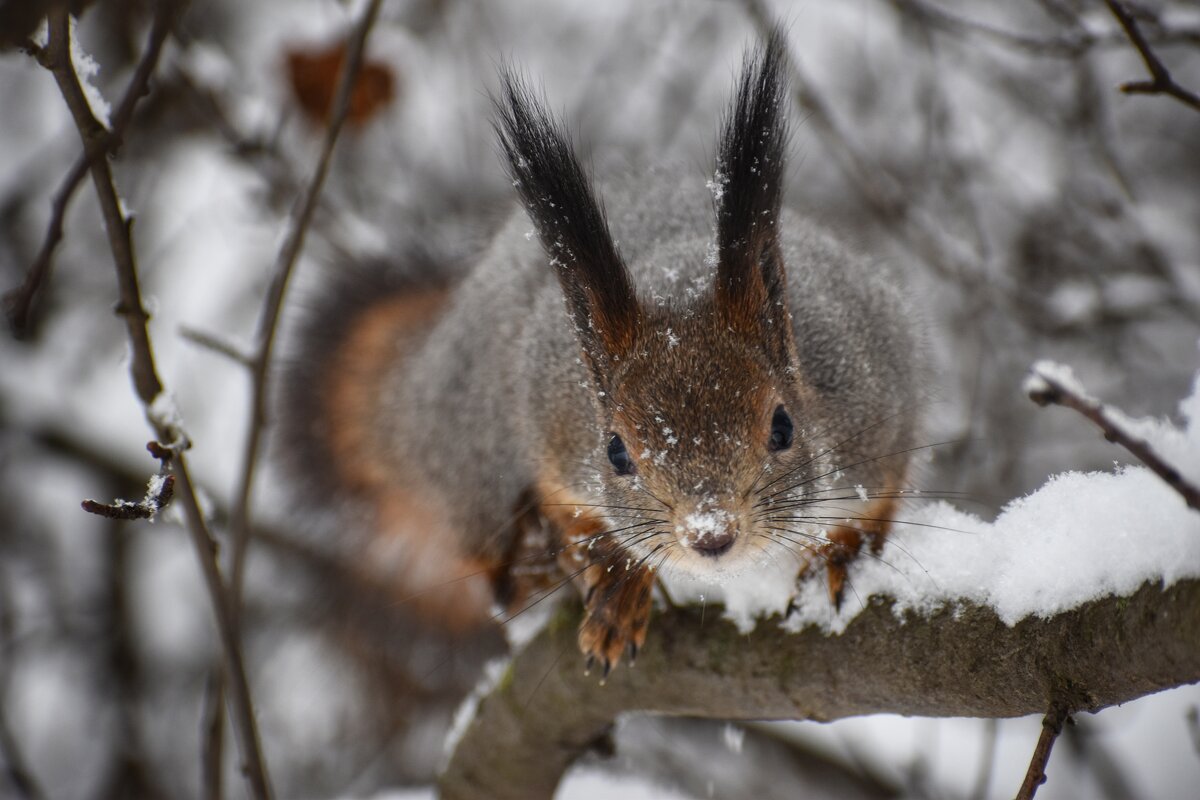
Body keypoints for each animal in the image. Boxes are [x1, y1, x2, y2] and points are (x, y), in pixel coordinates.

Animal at [278, 31, 926, 681]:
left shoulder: (874, 403)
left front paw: (837, 558)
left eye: (784, 426)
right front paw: (617, 585)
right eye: (616, 452)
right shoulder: (557, 431)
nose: (711, 535)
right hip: (475, 456)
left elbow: (877, 504)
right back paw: (531, 561)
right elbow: (578, 514)